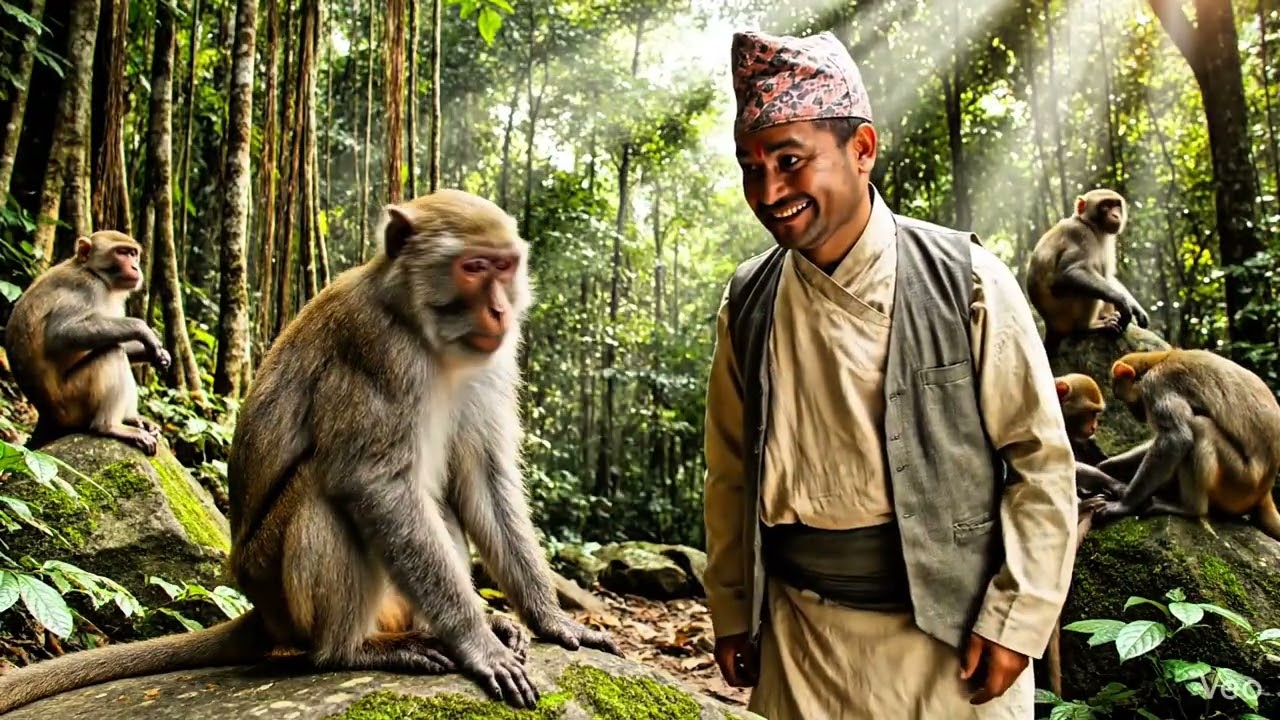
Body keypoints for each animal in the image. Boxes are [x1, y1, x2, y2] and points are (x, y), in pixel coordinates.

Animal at [3, 231, 171, 456]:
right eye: (121, 252)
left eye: (133, 254)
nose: (136, 267)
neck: (94, 273)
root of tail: (48, 417)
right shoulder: (86, 288)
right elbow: (62, 334)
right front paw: (144, 331)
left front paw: (159, 354)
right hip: (71, 402)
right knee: (112, 352)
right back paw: (109, 426)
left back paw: (131, 418)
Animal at [1025, 189, 1150, 354]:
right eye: (1105, 206)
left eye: (1116, 205)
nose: (1116, 215)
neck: (1091, 226)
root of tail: (1051, 325)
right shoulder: (1079, 234)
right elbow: (1070, 272)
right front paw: (1121, 301)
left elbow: (1109, 276)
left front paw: (1137, 309)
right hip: (1065, 313)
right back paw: (1088, 327)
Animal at [1087, 349, 1280, 542]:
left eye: (1122, 398)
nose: (1136, 415)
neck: (1159, 359)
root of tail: (1265, 491)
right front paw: (1108, 465)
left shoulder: (1157, 385)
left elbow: (1176, 439)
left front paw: (1124, 505)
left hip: (1240, 482)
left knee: (1200, 427)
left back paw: (1190, 508)